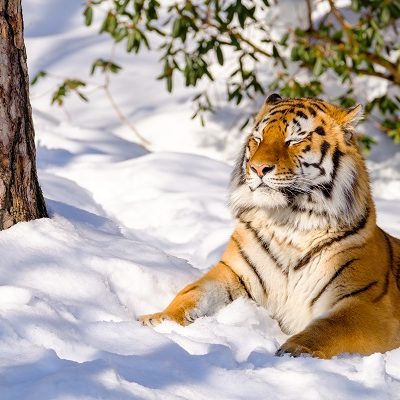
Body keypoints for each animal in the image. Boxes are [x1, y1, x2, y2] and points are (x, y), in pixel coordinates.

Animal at [138, 94, 400, 360]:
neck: (291, 222)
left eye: (294, 140)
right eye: (258, 139)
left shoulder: (368, 303)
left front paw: (295, 349)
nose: (258, 168)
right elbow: (191, 293)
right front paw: (159, 320)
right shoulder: (233, 274)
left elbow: (332, 325)